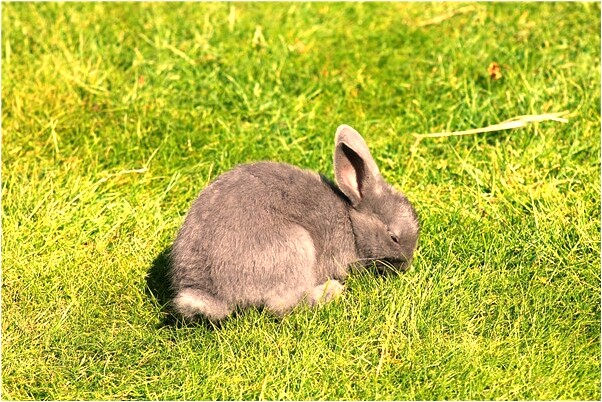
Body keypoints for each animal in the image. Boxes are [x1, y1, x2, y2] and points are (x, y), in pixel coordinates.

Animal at [169, 125, 418, 320]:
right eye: (394, 237)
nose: (406, 265)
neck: (351, 221)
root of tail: (209, 291)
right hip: (295, 245)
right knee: (283, 304)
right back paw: (331, 291)